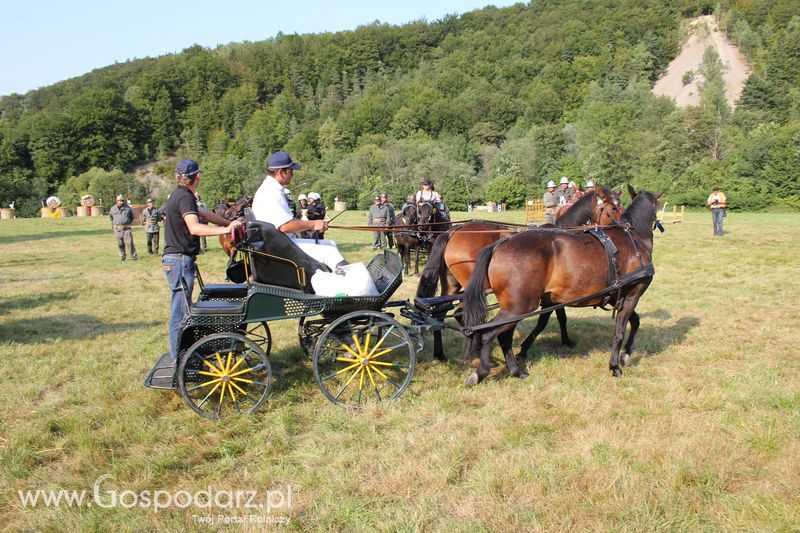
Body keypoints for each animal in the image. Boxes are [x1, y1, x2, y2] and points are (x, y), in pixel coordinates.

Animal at [418, 187, 624, 362]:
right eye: (614, 207)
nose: (624, 227)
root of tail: (454, 231)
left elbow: (560, 316)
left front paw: (565, 340)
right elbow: (549, 319)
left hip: (452, 285)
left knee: (440, 314)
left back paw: (440, 353)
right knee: (461, 313)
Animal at [460, 187, 660, 382]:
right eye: (613, 207)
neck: (634, 238)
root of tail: (499, 245)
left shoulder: (614, 295)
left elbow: (635, 320)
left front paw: (626, 354)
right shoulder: (633, 294)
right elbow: (620, 332)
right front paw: (615, 366)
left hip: (513, 308)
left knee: (504, 336)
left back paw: (516, 370)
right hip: (519, 307)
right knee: (488, 334)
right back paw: (482, 371)